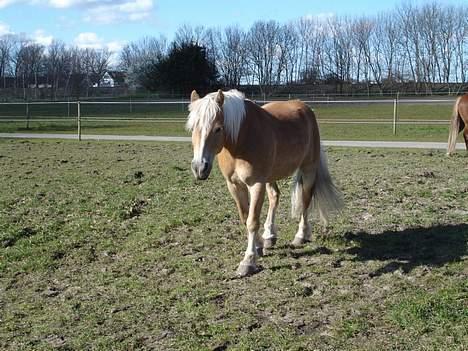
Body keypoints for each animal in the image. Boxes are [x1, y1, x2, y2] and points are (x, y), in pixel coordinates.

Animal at [186, 90, 344, 278]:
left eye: (218, 128)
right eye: (192, 128)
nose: (199, 168)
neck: (240, 139)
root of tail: (305, 107)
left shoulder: (256, 184)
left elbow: (252, 221)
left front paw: (248, 261)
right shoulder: (234, 185)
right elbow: (245, 217)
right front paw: (260, 244)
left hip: (308, 169)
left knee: (305, 200)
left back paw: (301, 235)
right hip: (271, 176)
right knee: (275, 197)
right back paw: (270, 235)